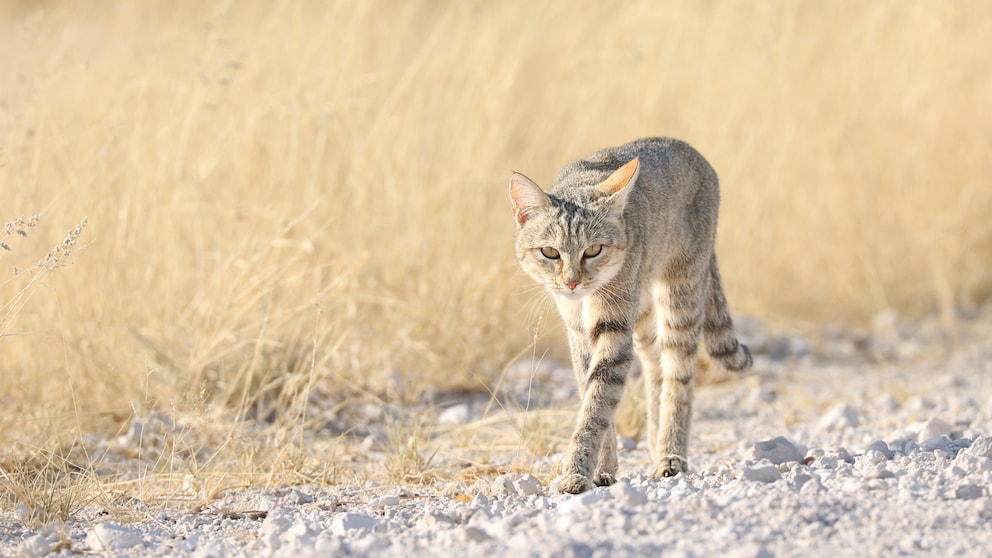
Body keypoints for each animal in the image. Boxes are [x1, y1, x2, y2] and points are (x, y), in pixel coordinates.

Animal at [512, 139, 752, 494]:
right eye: (550, 252)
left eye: (593, 250)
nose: (572, 282)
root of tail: (692, 150)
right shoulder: (580, 335)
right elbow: (595, 399)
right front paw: (602, 469)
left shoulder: (613, 329)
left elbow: (596, 406)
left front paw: (577, 472)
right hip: (642, 313)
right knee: (655, 370)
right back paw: (654, 442)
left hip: (679, 296)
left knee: (677, 377)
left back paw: (670, 455)